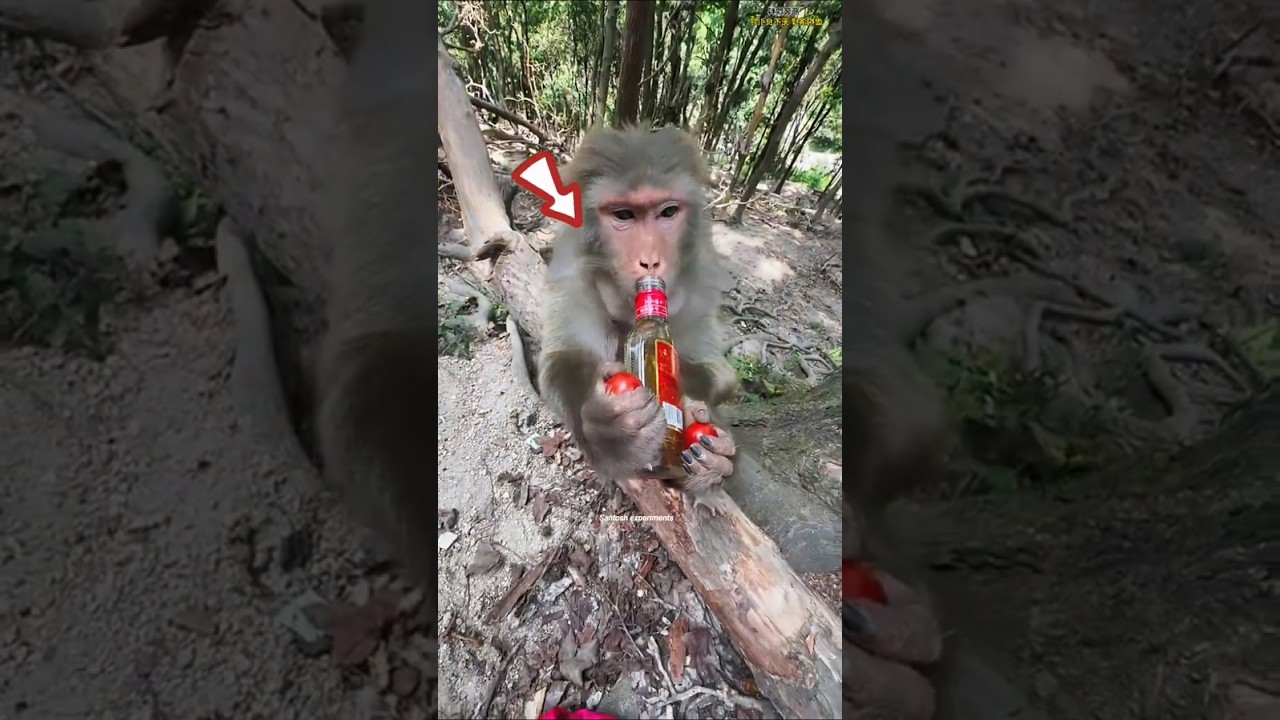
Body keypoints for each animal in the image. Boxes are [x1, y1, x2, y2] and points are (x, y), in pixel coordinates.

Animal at [536, 124, 742, 517]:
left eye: (668, 211)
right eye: (624, 215)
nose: (650, 261)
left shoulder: (699, 283)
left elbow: (722, 376)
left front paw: (710, 452)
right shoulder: (574, 275)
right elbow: (564, 360)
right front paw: (612, 433)